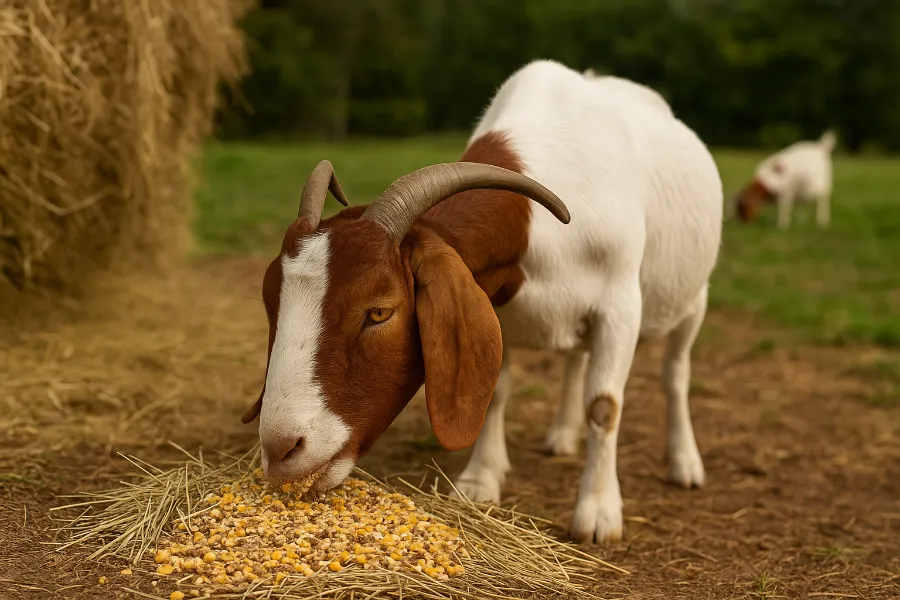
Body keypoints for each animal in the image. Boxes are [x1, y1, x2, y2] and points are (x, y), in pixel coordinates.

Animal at [242, 59, 723, 544]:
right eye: (271, 303)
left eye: (378, 312)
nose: (281, 450)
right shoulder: (496, 306)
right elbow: (495, 390)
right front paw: (480, 480)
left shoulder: (620, 306)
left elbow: (605, 406)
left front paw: (599, 513)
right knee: (576, 360)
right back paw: (562, 436)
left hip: (693, 301)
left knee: (675, 373)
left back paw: (684, 463)